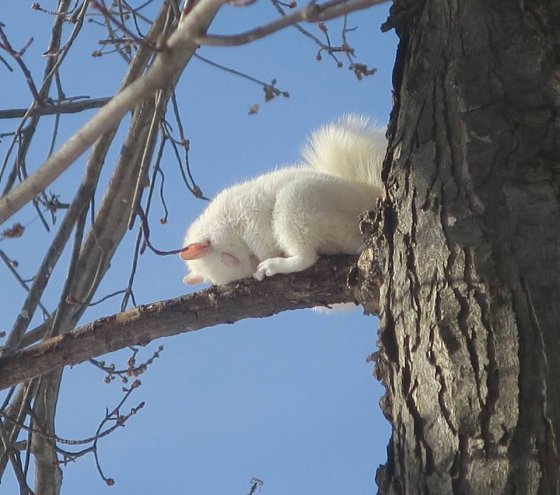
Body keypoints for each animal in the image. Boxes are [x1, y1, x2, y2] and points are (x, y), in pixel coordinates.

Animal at [182, 116, 388, 284]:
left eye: (228, 257)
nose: (253, 268)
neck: (223, 221)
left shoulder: (250, 218)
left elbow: (261, 242)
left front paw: (264, 261)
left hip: (297, 205)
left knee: (305, 257)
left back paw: (275, 264)